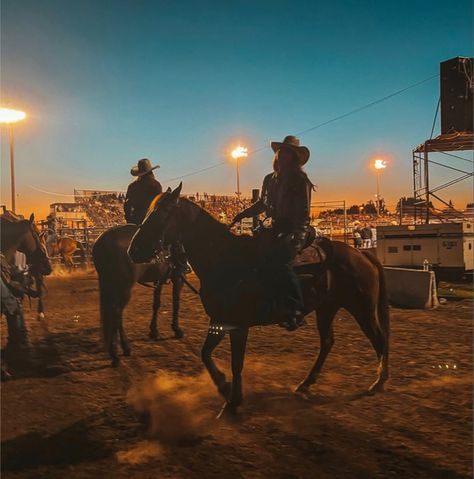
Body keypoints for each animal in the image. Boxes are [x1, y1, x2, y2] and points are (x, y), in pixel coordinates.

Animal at [91, 225, 184, 368]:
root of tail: (103, 241)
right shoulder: (178, 277)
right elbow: (176, 302)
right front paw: (177, 329)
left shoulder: (159, 279)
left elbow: (156, 303)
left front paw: (154, 331)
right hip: (123, 287)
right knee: (116, 313)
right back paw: (116, 354)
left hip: (110, 284)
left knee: (116, 314)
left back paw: (123, 349)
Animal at [127, 186, 388, 418]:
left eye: (161, 213)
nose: (134, 250)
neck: (224, 258)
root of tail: (362, 254)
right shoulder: (220, 320)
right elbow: (205, 354)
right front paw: (224, 387)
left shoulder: (238, 326)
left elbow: (236, 363)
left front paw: (232, 401)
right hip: (327, 308)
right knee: (327, 342)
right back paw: (306, 383)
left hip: (362, 308)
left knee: (378, 338)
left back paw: (378, 382)